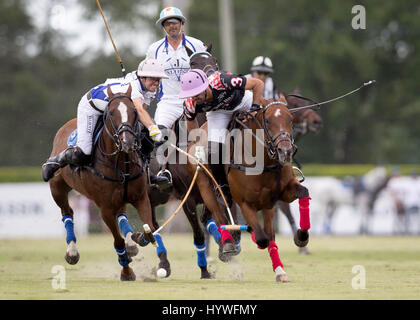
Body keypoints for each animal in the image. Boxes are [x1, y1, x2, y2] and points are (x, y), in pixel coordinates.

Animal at [44, 85, 169, 280]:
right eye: (111, 113)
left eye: (134, 112)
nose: (127, 142)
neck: (122, 163)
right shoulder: (105, 208)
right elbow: (117, 242)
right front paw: (127, 272)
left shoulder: (140, 198)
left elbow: (149, 229)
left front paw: (138, 239)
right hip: (57, 188)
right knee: (67, 212)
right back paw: (72, 251)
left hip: (120, 197)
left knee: (122, 214)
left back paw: (131, 242)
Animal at [185, 95, 310, 282]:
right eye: (268, 120)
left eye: (290, 119)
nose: (285, 152)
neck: (263, 161)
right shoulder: (245, 203)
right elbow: (262, 238)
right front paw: (246, 237)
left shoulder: (280, 195)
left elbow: (303, 193)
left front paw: (300, 238)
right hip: (205, 186)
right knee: (219, 215)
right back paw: (229, 244)